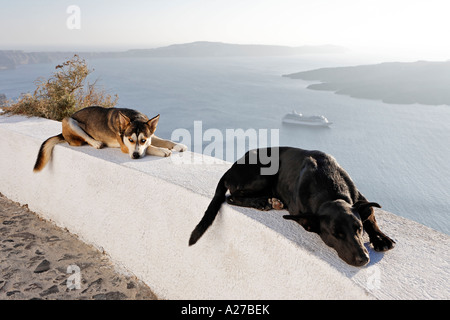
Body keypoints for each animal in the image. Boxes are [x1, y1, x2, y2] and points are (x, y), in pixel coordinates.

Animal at [189, 146, 394, 266]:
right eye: (336, 234)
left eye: (358, 229)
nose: (364, 259)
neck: (329, 188)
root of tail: (232, 167)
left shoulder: (360, 198)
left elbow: (370, 213)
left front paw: (380, 238)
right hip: (263, 174)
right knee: (232, 197)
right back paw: (264, 201)